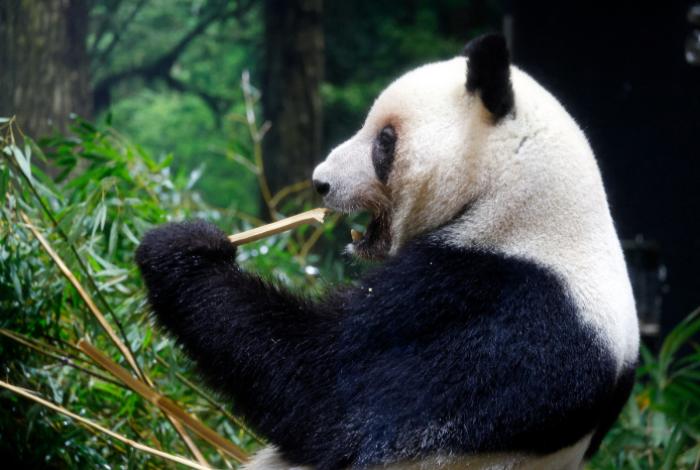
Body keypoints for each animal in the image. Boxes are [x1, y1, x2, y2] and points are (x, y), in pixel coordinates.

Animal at [136, 34, 639, 469]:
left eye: (385, 140)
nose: (321, 181)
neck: (525, 202)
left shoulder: (503, 313)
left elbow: (323, 388)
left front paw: (182, 249)